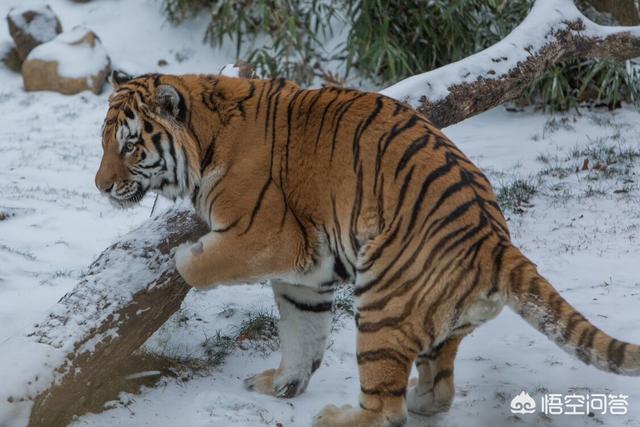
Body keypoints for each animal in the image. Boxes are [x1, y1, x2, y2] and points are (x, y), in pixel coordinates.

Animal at [96, 72, 640, 426]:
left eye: (130, 146)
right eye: (104, 143)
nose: (100, 186)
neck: (206, 139)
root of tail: (496, 240)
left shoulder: (270, 236)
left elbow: (203, 264)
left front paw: (184, 258)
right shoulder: (307, 272)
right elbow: (302, 332)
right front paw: (283, 384)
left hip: (381, 301)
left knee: (386, 411)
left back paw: (337, 418)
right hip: (437, 319)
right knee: (440, 386)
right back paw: (422, 398)